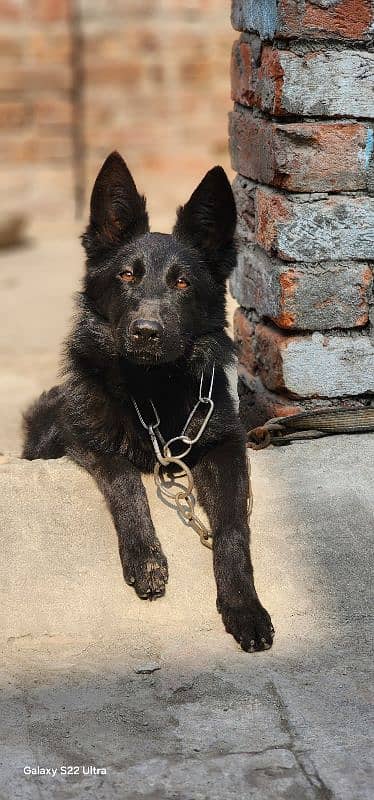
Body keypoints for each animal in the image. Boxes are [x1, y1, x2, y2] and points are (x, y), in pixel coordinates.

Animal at [24, 153, 274, 652]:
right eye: (126, 275)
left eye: (182, 283)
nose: (146, 332)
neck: (153, 391)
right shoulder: (83, 436)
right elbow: (124, 478)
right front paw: (146, 558)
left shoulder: (226, 445)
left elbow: (233, 525)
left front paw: (243, 604)